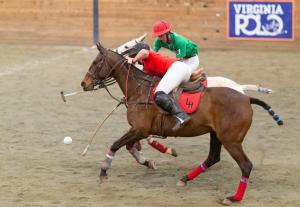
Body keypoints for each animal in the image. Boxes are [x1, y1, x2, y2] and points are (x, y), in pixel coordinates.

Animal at [81, 42, 282, 205]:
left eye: (96, 62)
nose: (84, 83)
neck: (138, 89)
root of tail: (246, 98)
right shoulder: (140, 130)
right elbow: (130, 146)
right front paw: (149, 162)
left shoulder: (140, 129)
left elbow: (116, 144)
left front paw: (104, 171)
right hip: (216, 134)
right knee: (213, 158)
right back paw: (185, 179)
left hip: (230, 140)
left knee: (246, 165)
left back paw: (233, 198)